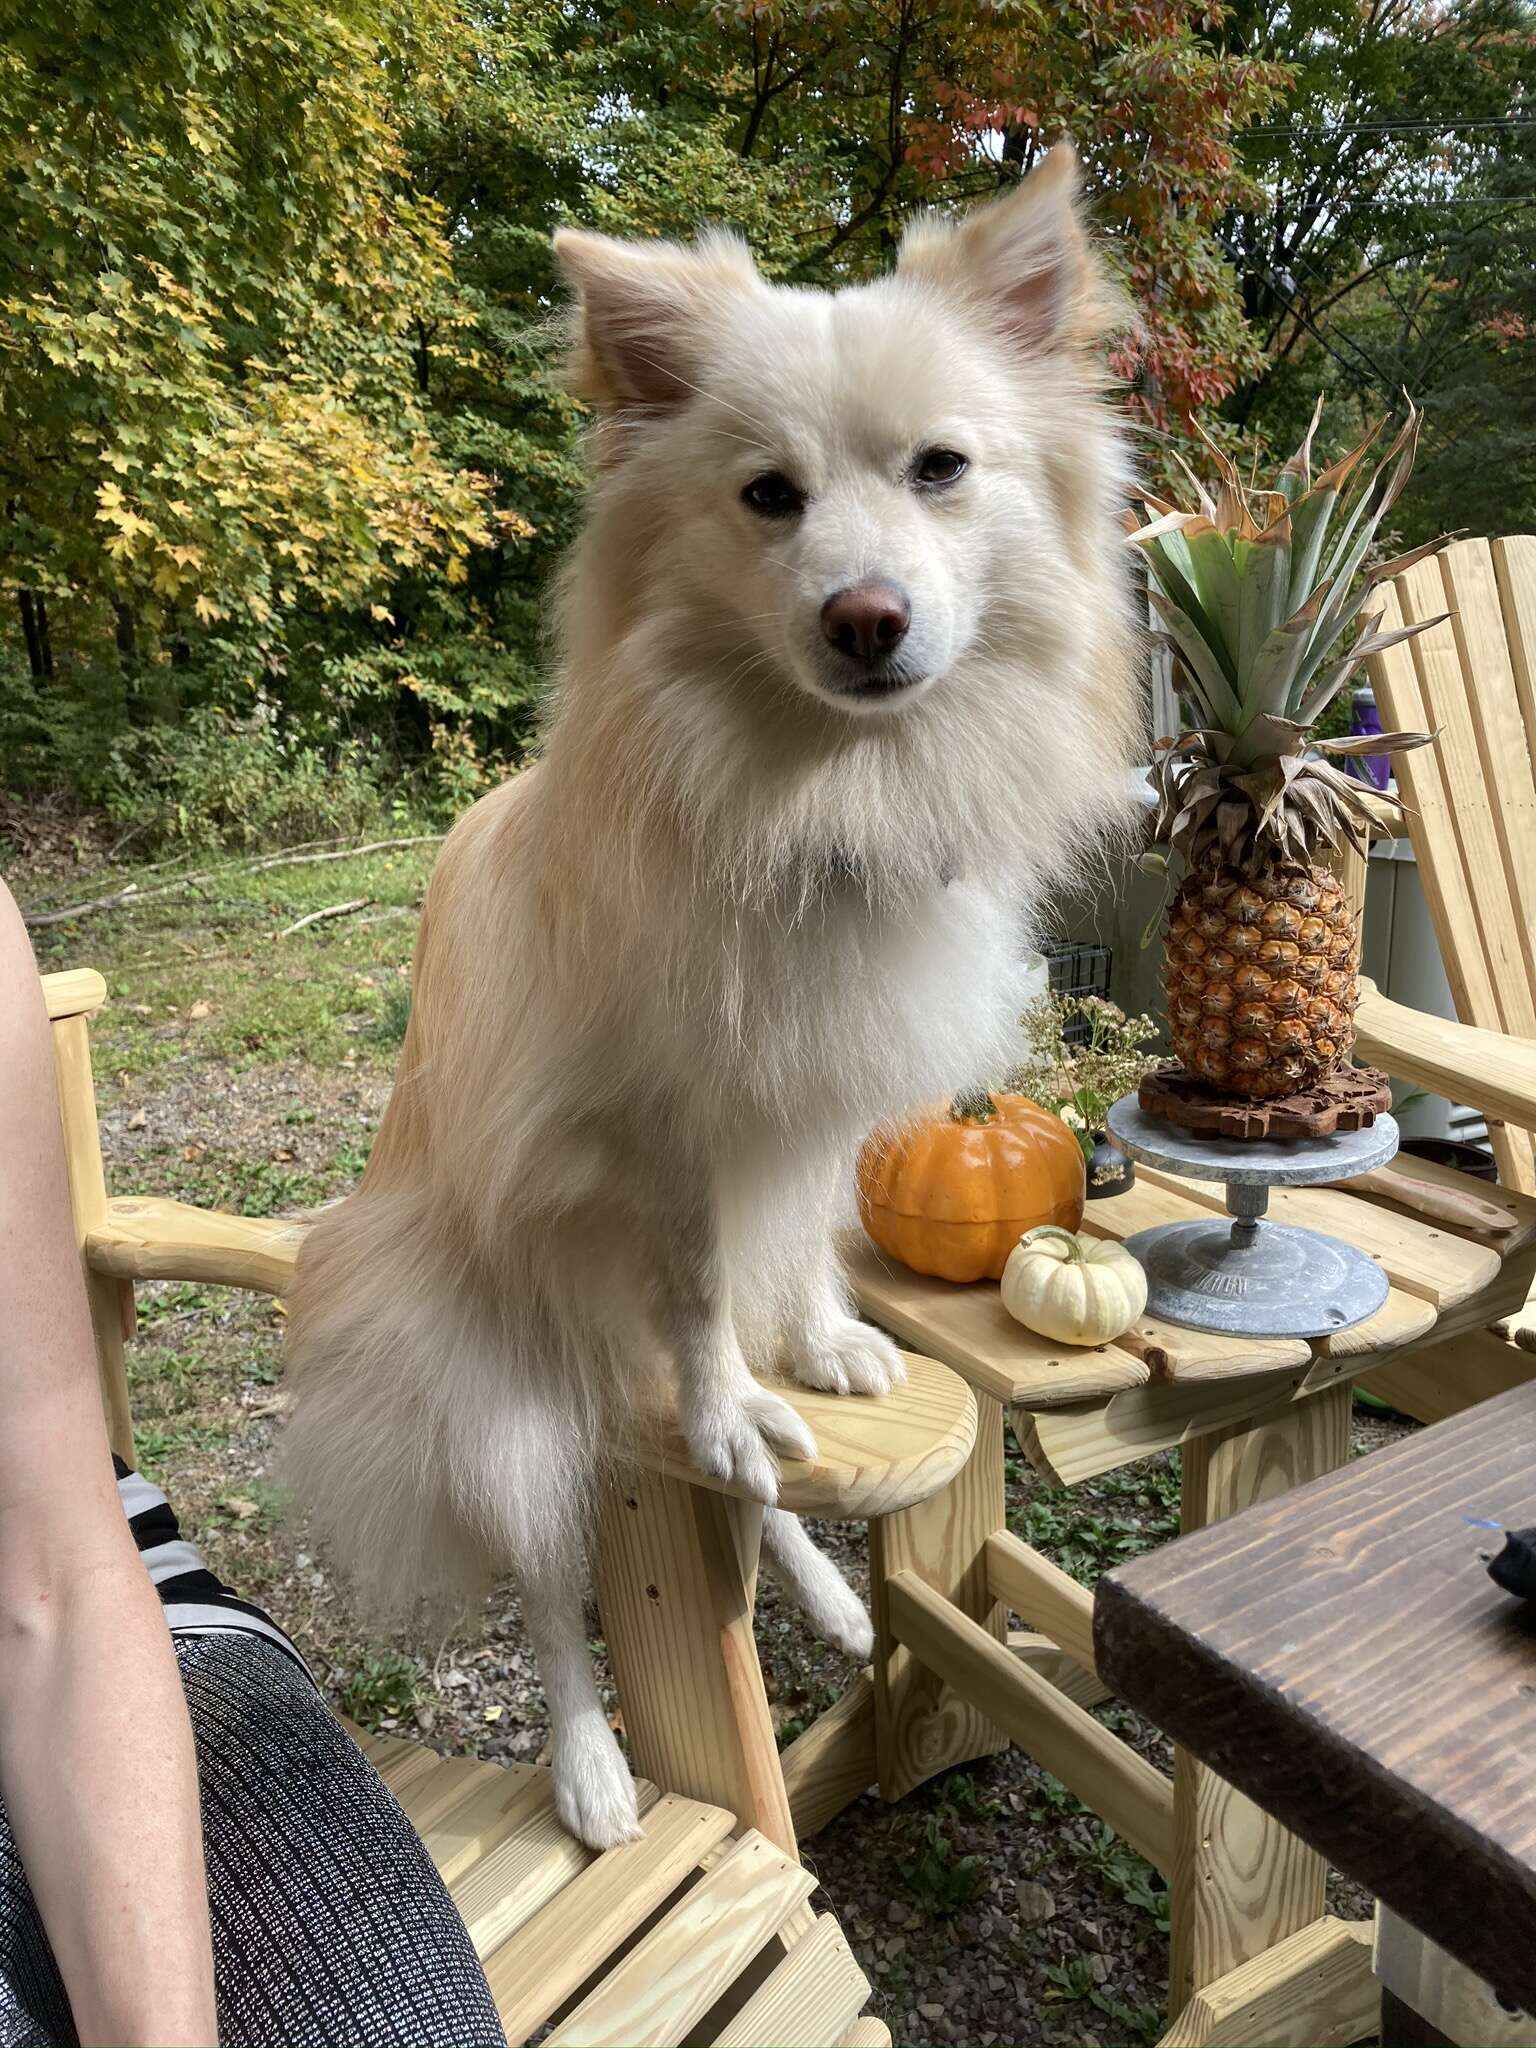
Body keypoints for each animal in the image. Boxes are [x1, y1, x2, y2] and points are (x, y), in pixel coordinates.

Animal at [280, 140, 1146, 1843]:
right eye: (769, 498)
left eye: (940, 470)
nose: (863, 617)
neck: (817, 799)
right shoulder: (660, 1134)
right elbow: (694, 1303)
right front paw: (731, 1407)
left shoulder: (811, 1111)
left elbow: (793, 1256)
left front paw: (811, 1356)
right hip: (512, 1411)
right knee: (556, 1598)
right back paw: (593, 1769)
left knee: (736, 1531)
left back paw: (824, 1588)